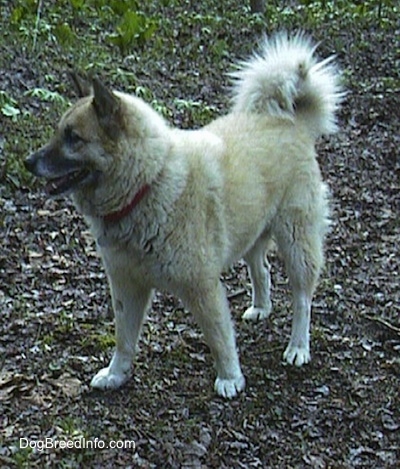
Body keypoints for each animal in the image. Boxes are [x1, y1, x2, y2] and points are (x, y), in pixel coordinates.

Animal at [25, 33, 342, 396]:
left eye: (73, 138)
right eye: (58, 132)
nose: (28, 162)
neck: (147, 183)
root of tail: (289, 121)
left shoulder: (202, 287)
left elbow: (219, 337)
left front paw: (230, 378)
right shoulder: (126, 286)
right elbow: (124, 340)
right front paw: (117, 374)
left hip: (296, 240)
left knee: (302, 298)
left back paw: (298, 347)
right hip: (250, 232)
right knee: (261, 269)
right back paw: (261, 307)